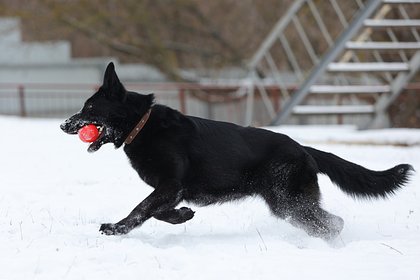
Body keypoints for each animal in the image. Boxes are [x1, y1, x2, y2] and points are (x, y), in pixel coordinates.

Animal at [60, 62, 414, 240]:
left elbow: (141, 209)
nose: (64, 125)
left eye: (89, 108)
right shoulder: (172, 190)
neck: (143, 125)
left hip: (289, 202)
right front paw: (182, 216)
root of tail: (302, 148)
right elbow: (156, 210)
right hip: (289, 206)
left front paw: (117, 229)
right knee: (330, 223)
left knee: (331, 223)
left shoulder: (170, 185)